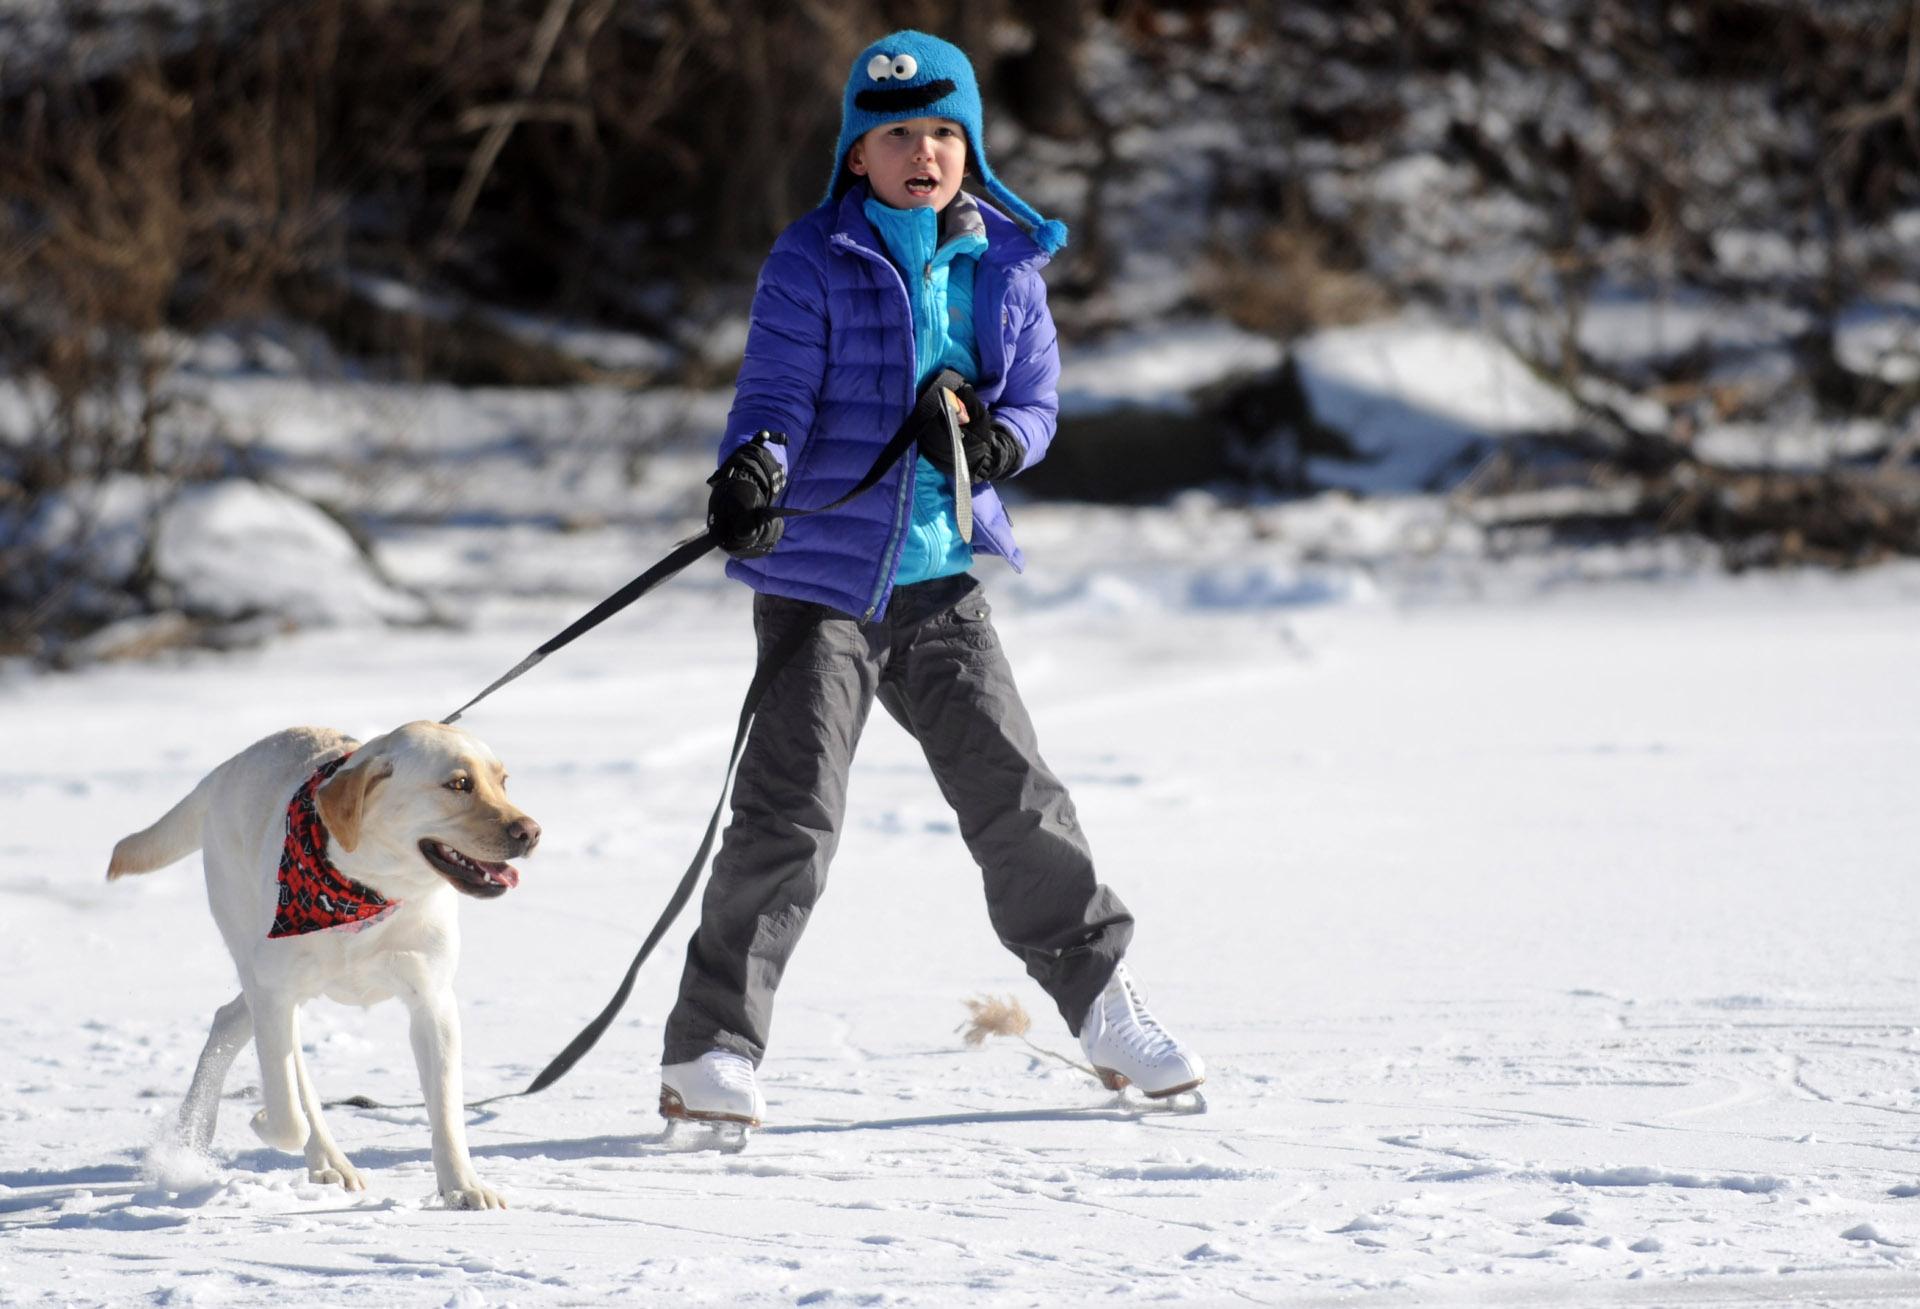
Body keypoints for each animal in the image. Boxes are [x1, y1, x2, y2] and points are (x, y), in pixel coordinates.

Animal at [108, 717, 537, 1205]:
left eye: (503, 782)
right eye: (459, 783)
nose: (532, 832)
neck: (367, 894)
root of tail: (225, 769)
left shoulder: (433, 1002)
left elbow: (446, 1110)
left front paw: (463, 1187)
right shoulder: (278, 996)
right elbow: (289, 1112)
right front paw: (268, 1122)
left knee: (229, 1019)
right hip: (260, 964)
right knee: (278, 1069)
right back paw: (322, 1158)